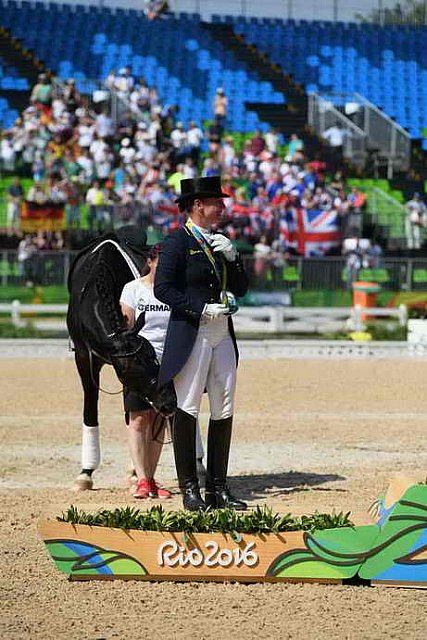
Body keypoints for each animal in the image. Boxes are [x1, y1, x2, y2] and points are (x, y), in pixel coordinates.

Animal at [67, 225, 177, 490]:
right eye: (136, 368)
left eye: (154, 358)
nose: (169, 402)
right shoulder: (84, 357)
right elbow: (90, 406)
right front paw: (85, 473)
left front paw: (136, 472)